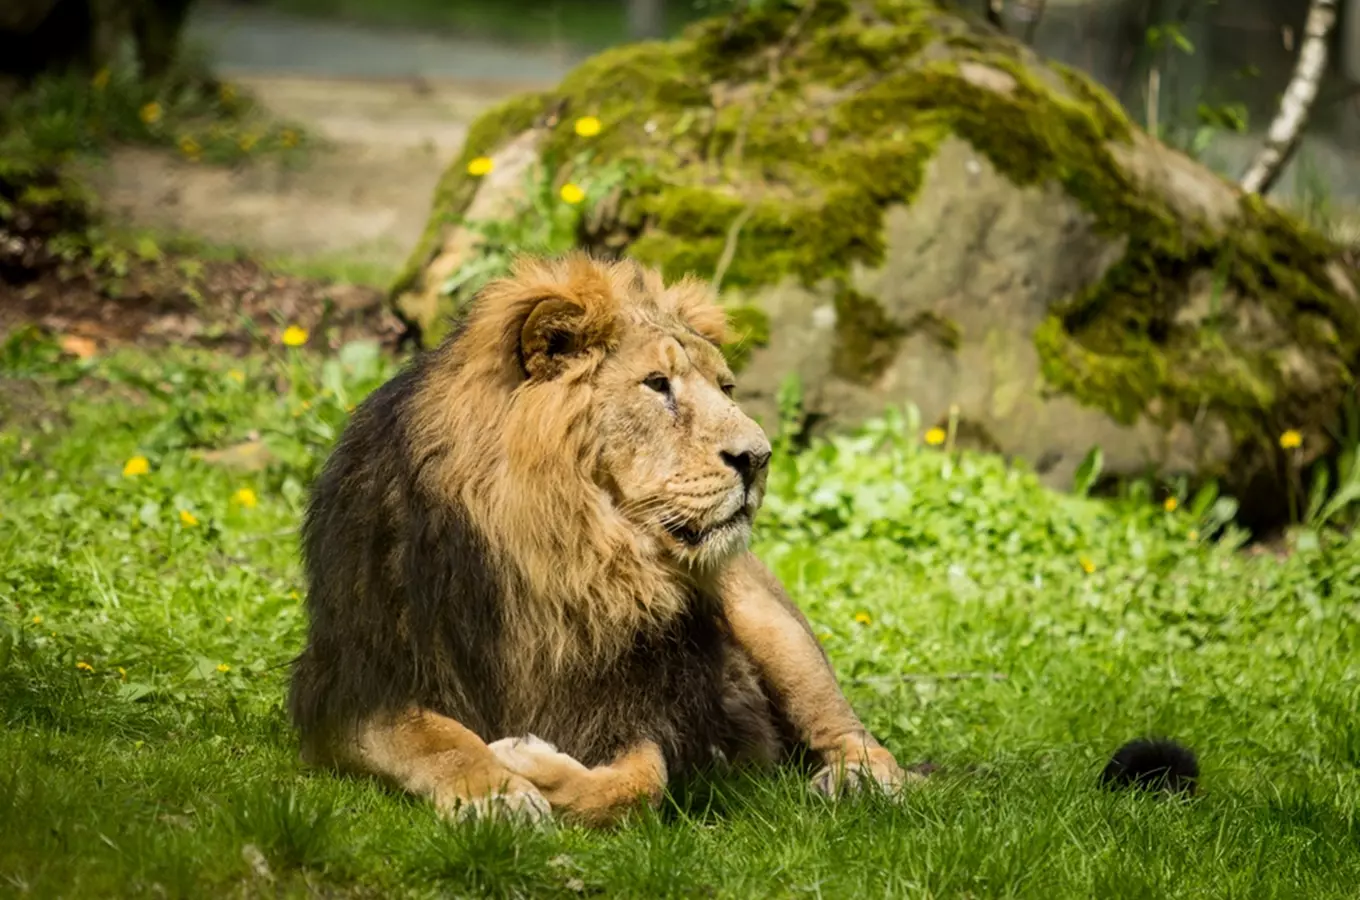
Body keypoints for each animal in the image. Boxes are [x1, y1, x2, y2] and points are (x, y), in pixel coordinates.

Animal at [285, 250, 903, 826]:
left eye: (726, 387)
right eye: (658, 385)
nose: (759, 457)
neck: (566, 554)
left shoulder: (638, 706)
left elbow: (642, 781)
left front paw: (528, 764)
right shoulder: (352, 688)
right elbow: (438, 740)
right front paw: (497, 793)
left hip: (771, 622)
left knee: (847, 729)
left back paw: (859, 780)